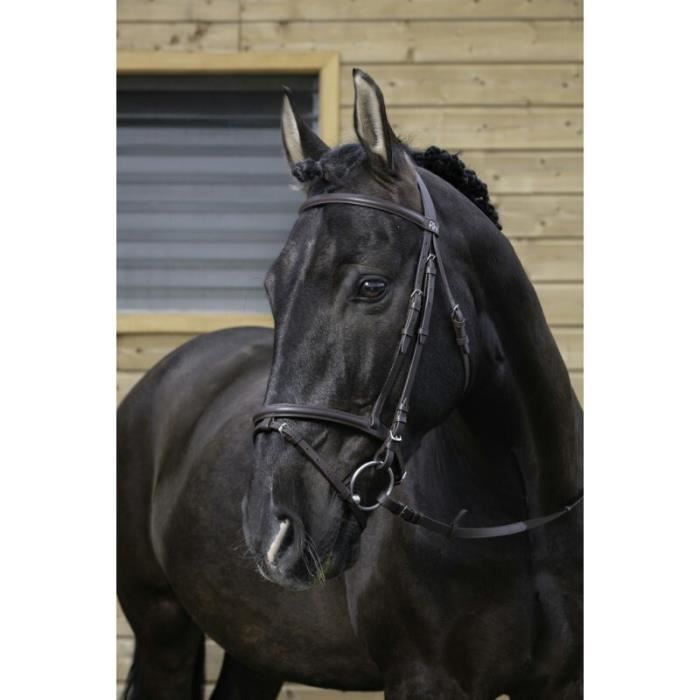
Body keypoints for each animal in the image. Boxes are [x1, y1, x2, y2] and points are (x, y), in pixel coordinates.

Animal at [117, 68, 583, 700]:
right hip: (162, 626)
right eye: (273, 288)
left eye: (371, 286)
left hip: (259, 650)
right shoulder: (424, 678)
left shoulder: (563, 681)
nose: (271, 529)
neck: (525, 516)